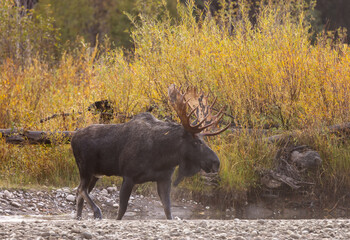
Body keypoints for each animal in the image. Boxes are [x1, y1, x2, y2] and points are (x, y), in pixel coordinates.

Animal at [71, 84, 230, 219]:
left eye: (204, 139)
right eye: (196, 142)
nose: (216, 163)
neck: (162, 157)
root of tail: (73, 137)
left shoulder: (164, 179)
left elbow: (168, 211)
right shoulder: (128, 176)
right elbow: (121, 212)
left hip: (96, 174)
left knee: (80, 192)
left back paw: (80, 217)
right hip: (85, 168)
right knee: (80, 189)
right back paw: (97, 212)